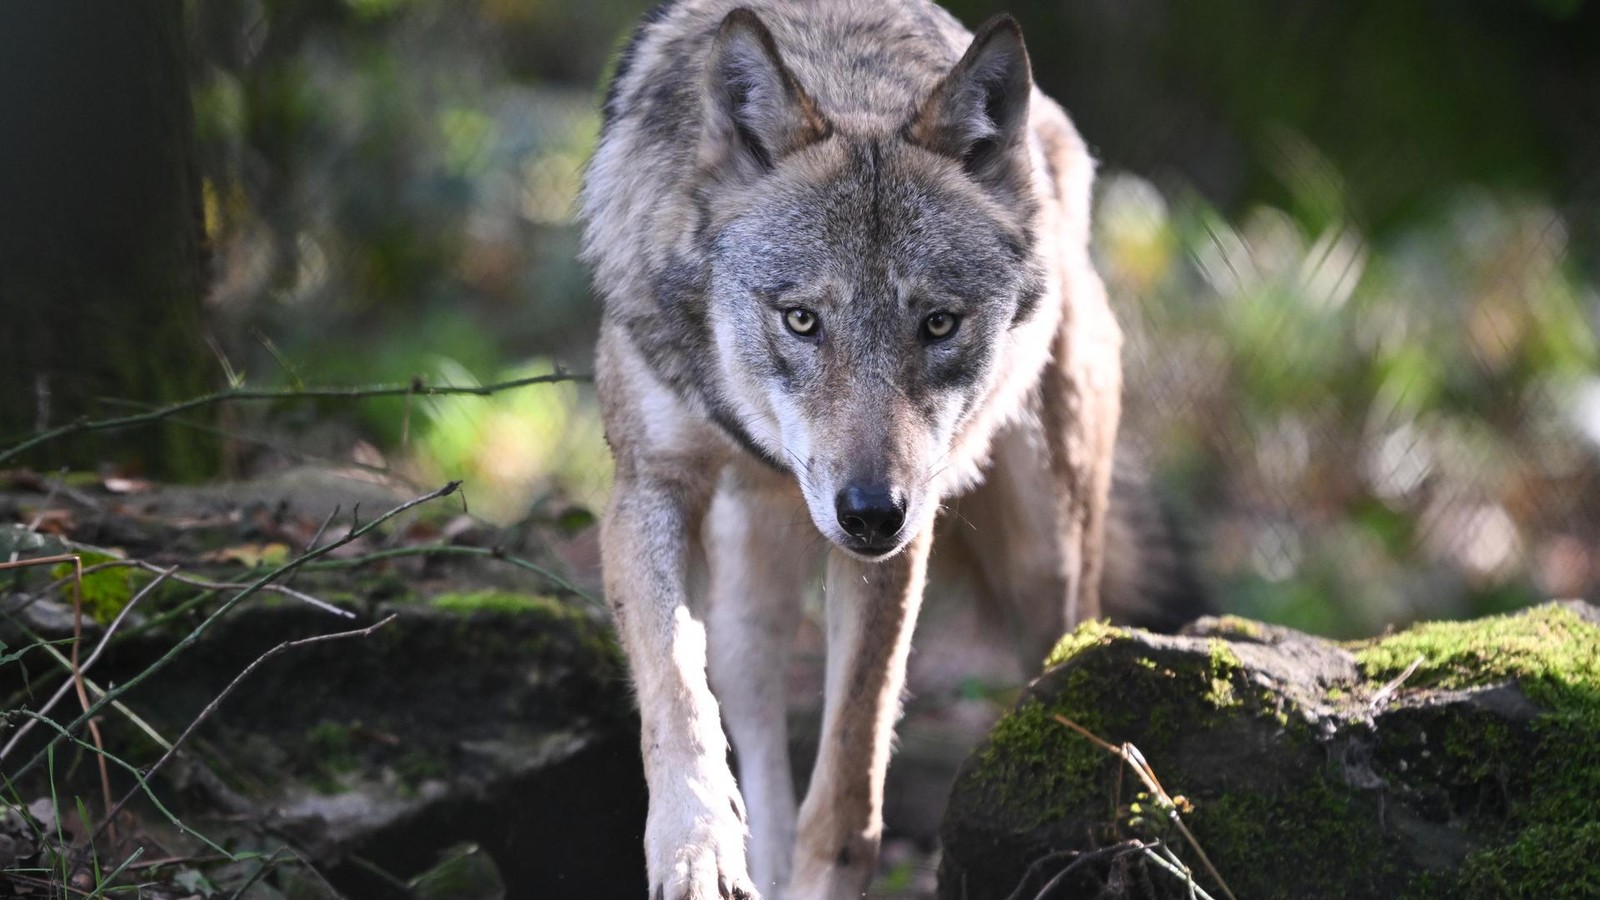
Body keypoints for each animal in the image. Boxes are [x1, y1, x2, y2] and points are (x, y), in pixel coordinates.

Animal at [580, 1, 1189, 897]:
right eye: (802, 319)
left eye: (937, 323)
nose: (871, 512)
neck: (843, 74)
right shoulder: (648, 484)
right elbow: (674, 689)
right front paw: (696, 851)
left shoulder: (899, 544)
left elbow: (848, 778)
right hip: (753, 576)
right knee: (748, 700)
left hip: (1044, 553)